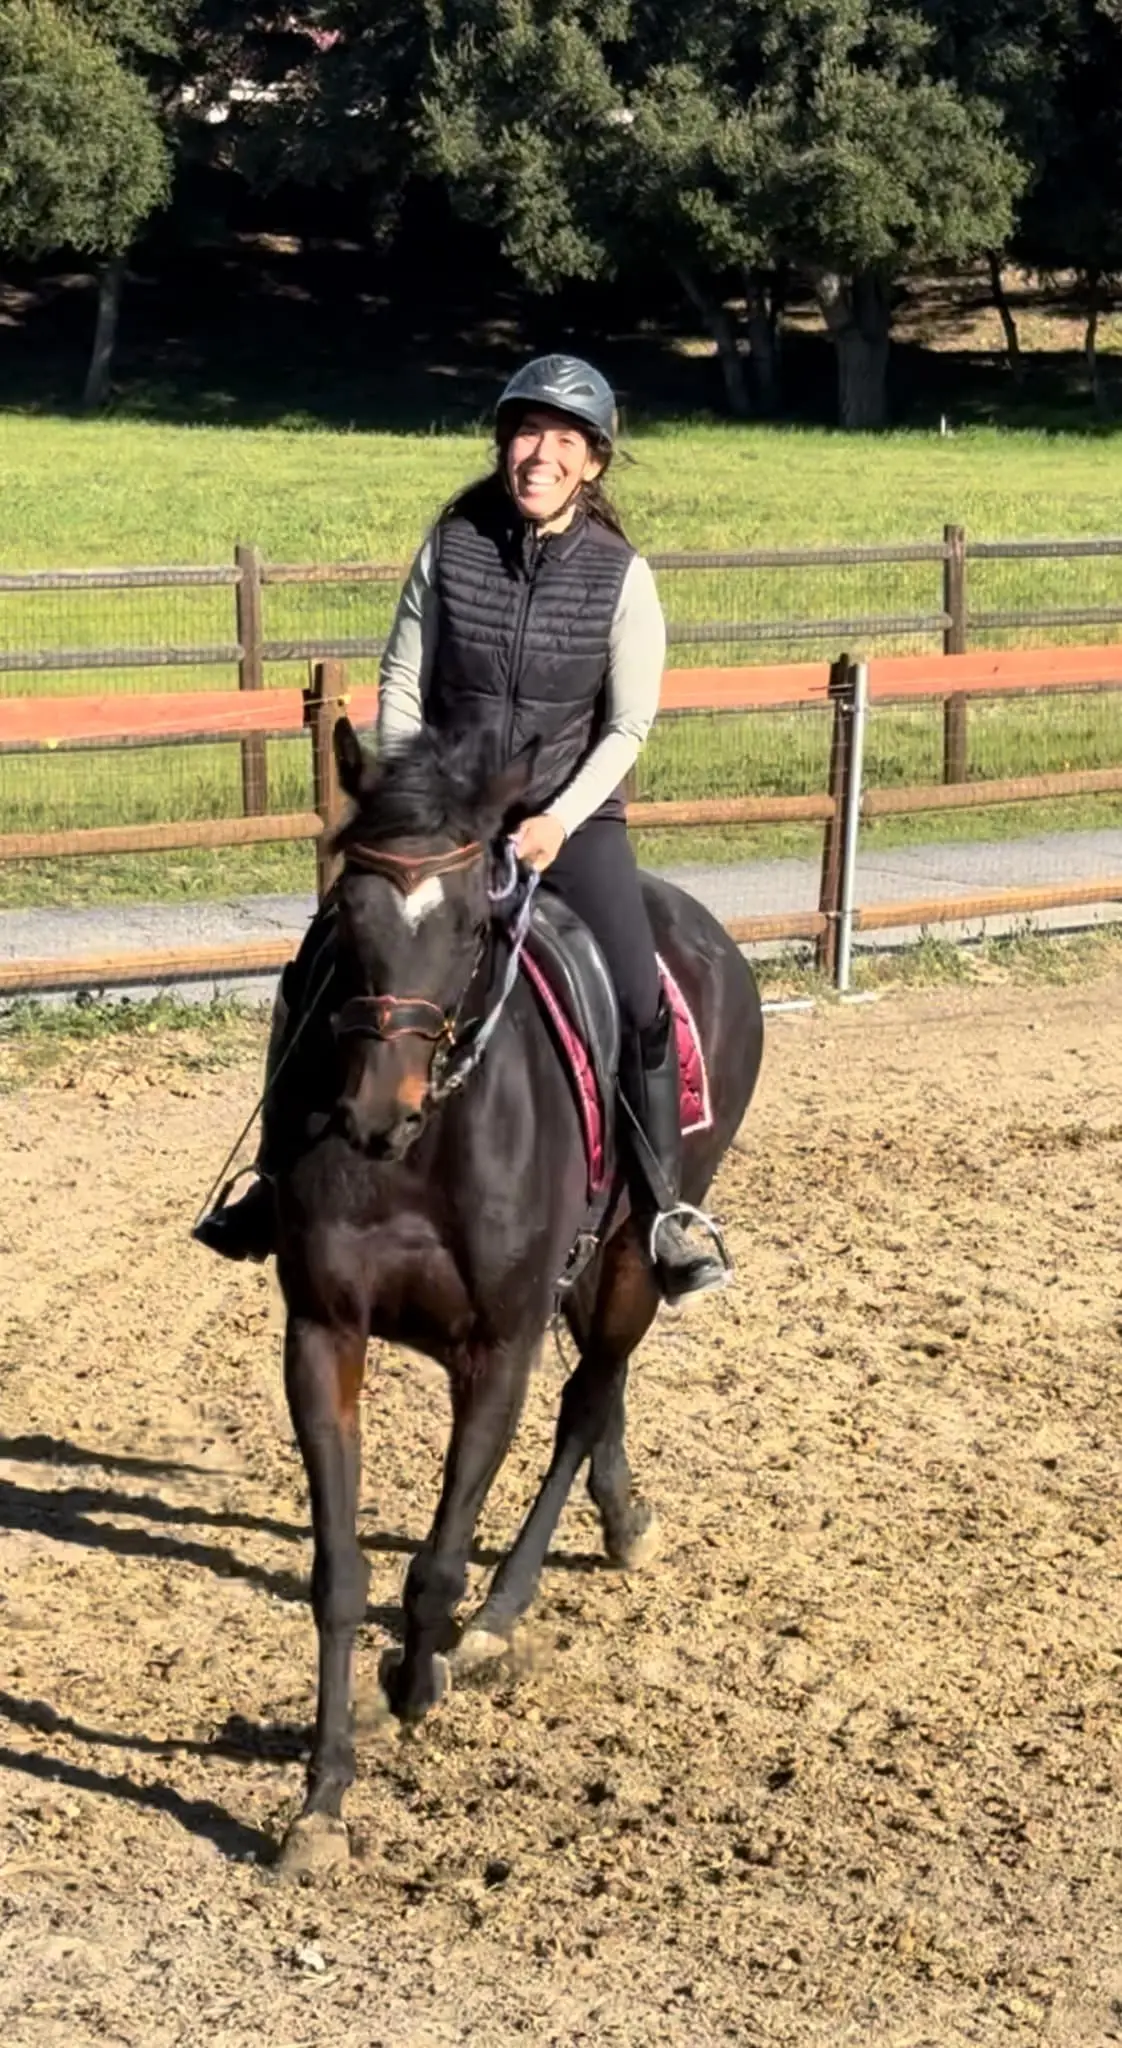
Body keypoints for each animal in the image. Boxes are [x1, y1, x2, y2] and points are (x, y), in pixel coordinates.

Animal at [263, 718, 764, 1879]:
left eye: (469, 926)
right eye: (348, 912)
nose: (375, 1110)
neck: (423, 1147)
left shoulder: (498, 1347)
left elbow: (436, 1567)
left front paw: (418, 1677)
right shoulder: (323, 1335)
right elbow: (340, 1575)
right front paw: (323, 1800)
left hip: (632, 1256)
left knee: (587, 1401)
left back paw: (501, 1615)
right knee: (602, 1395)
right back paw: (624, 1520)